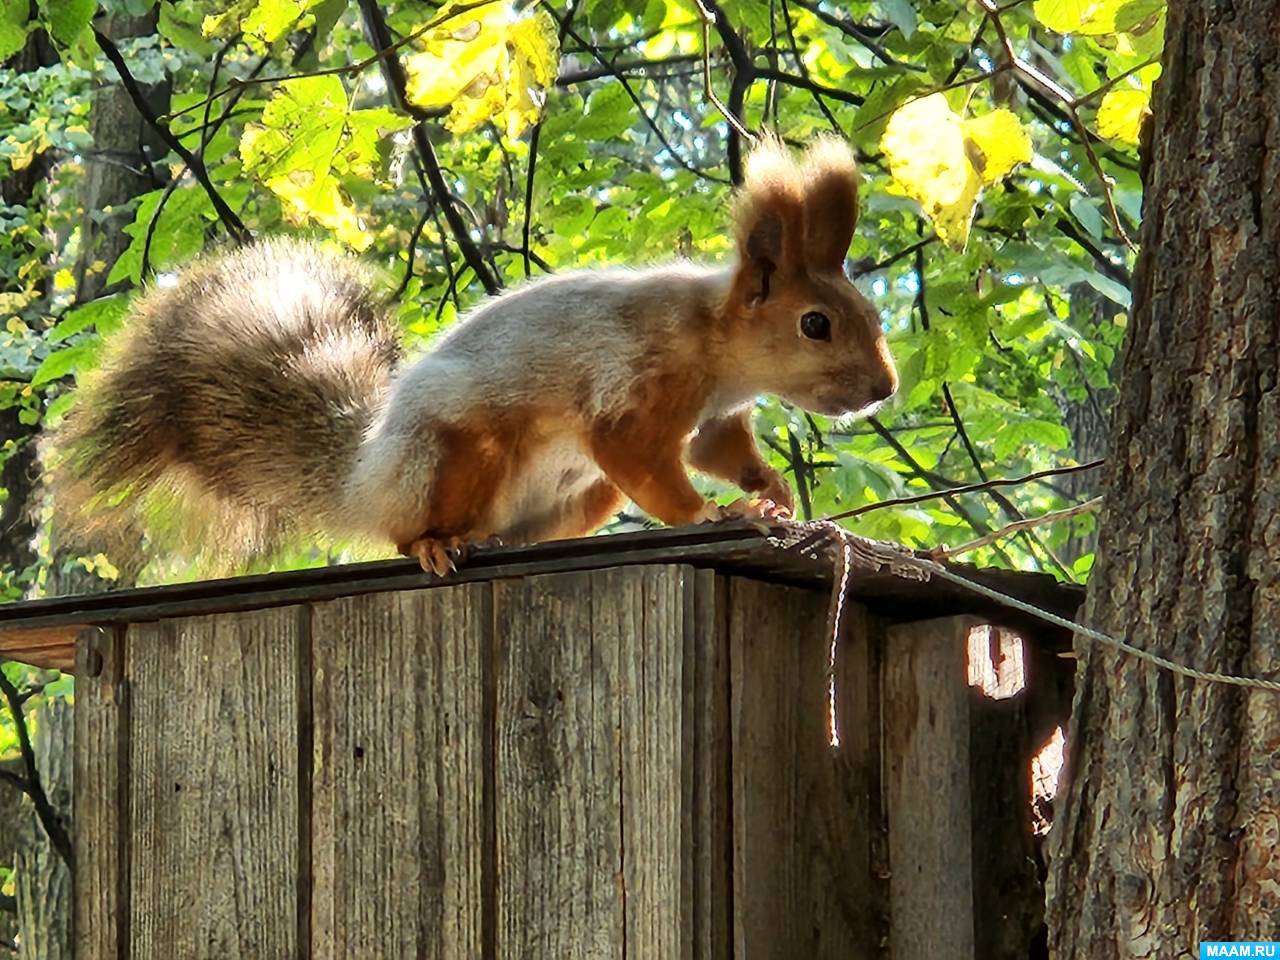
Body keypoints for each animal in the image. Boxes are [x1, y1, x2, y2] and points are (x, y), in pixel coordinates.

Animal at [42, 133, 901, 578]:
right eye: (816, 324)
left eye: (869, 315)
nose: (883, 389)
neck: (714, 345)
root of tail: (362, 478)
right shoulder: (631, 388)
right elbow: (647, 462)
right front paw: (714, 513)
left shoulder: (715, 418)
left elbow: (719, 451)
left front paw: (771, 490)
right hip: (459, 455)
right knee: (408, 531)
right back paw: (435, 543)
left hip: (581, 498)